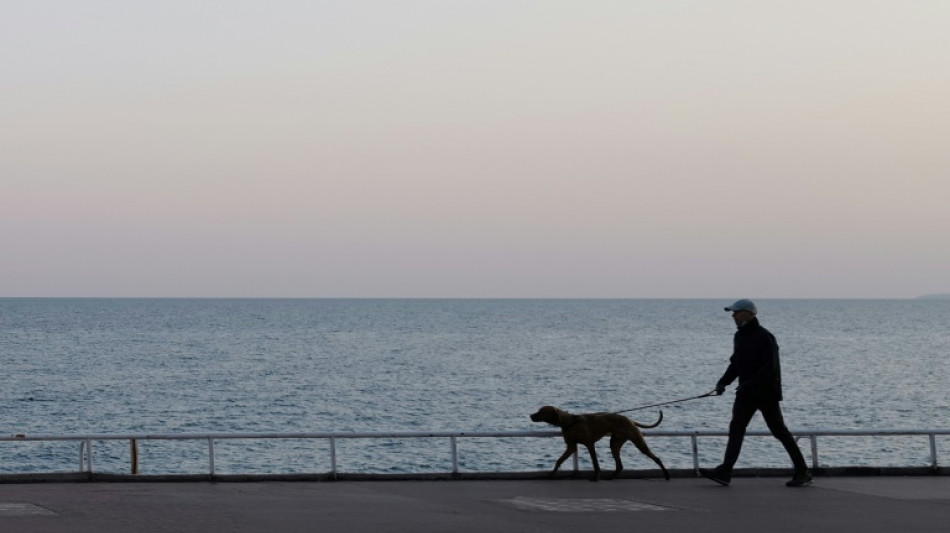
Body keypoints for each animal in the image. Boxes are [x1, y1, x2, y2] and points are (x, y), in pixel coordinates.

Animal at [532, 406, 672, 480]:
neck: (570, 422)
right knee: (619, 465)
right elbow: (559, 460)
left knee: (656, 458)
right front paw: (551, 474)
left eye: (541, 411)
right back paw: (612, 477)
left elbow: (595, 463)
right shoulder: (571, 447)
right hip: (615, 443)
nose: (530, 415)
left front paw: (596, 477)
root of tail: (631, 421)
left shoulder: (589, 444)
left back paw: (666, 475)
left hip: (638, 442)